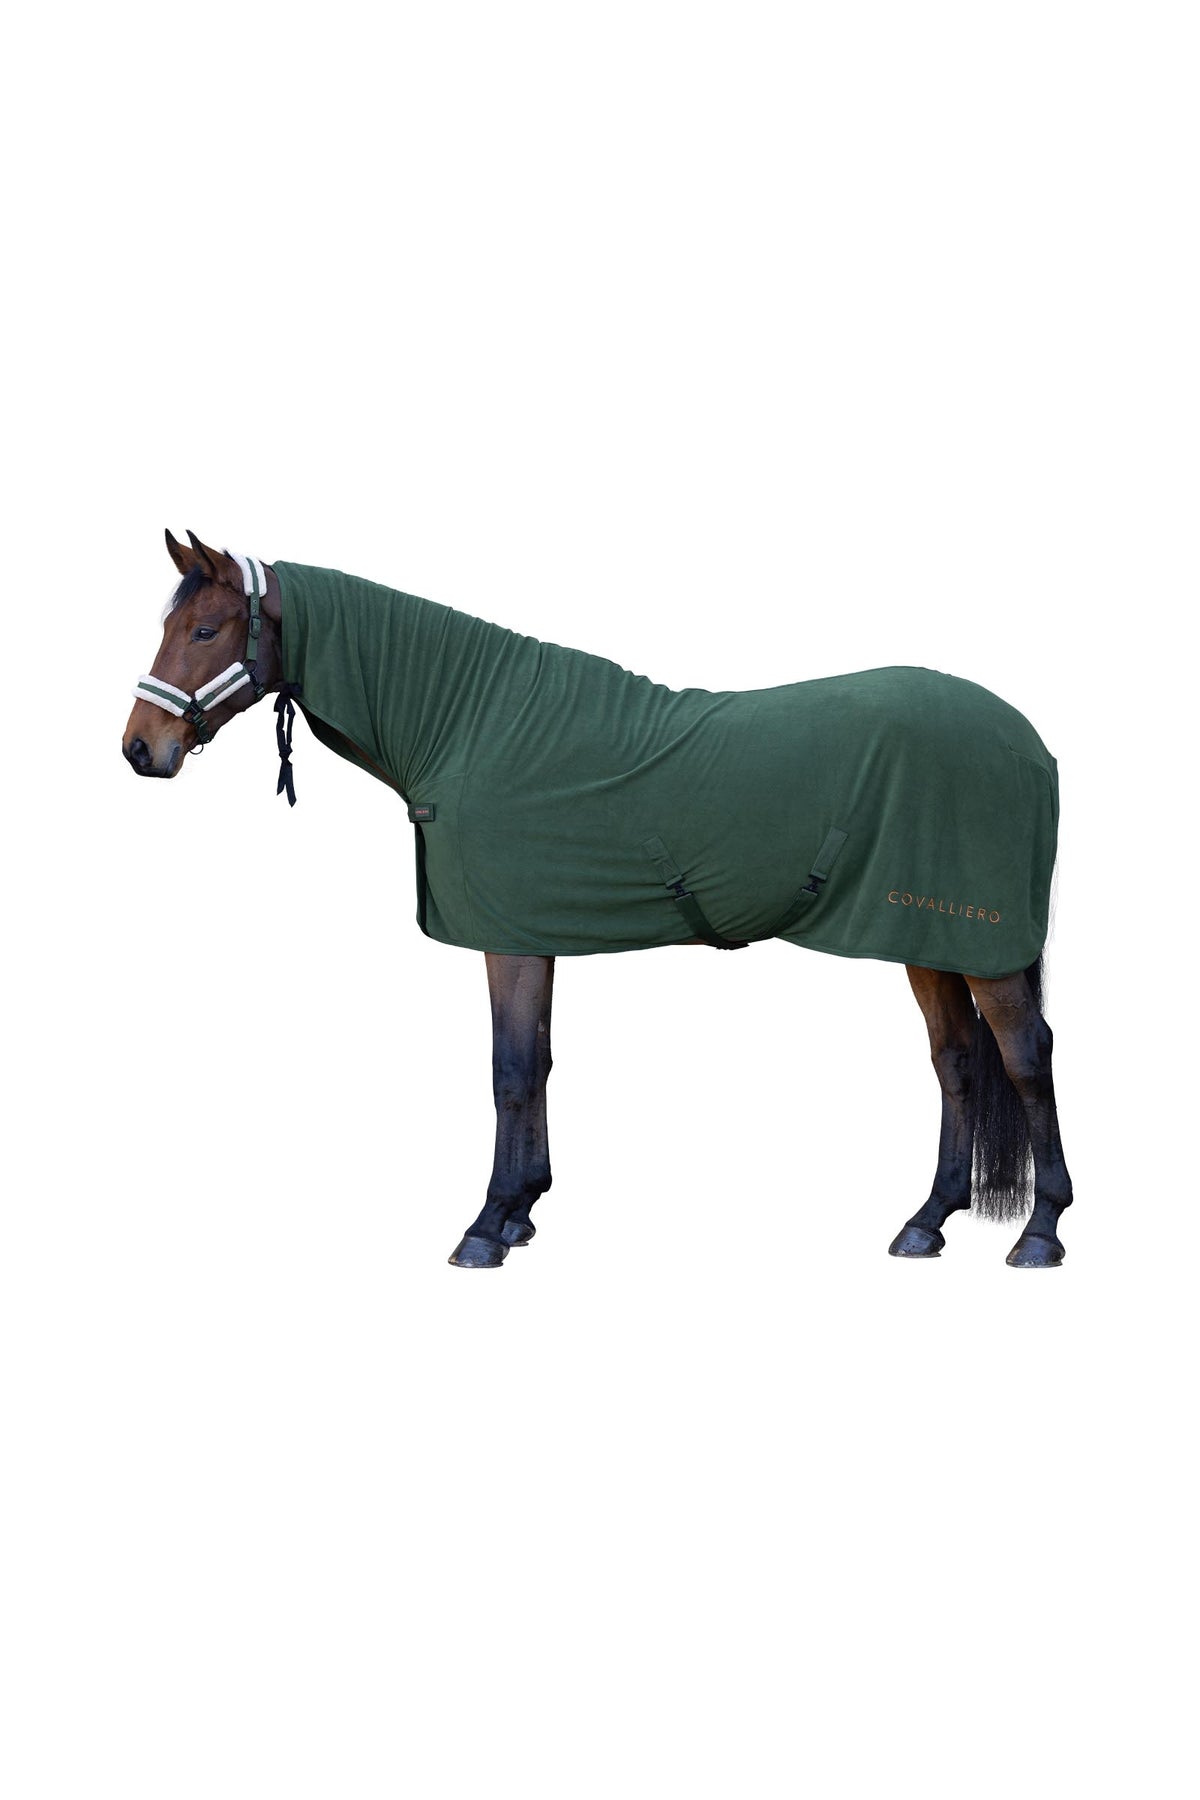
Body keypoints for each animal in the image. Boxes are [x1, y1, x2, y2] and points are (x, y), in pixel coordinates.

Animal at [123, 530, 1073, 1270]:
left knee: (1025, 1056)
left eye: (204, 629)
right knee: (956, 1062)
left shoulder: (506, 938)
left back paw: (1041, 1232)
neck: (473, 723)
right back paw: (926, 1221)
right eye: (169, 626)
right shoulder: (532, 932)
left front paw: (484, 1227)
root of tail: (1029, 742)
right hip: (925, 938)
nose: (140, 747)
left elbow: (509, 1071)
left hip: (978, 944)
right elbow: (538, 1062)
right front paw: (523, 1209)